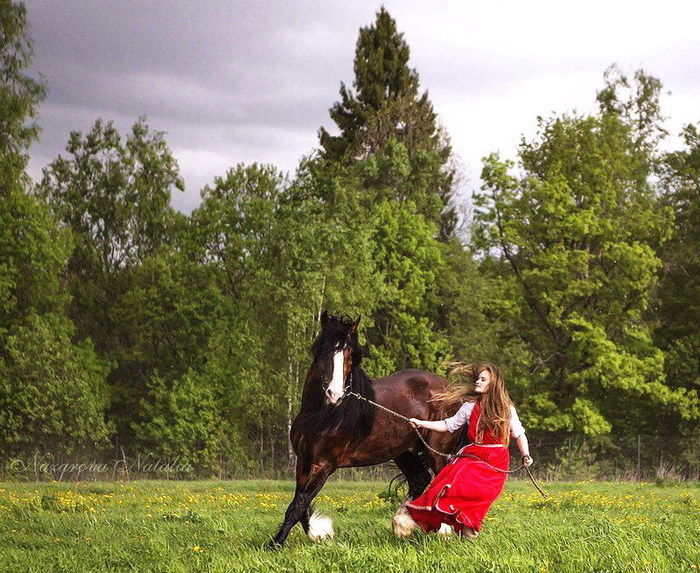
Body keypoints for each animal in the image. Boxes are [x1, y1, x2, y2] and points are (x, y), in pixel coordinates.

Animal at [268, 310, 460, 548]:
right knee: (420, 479)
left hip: (436, 451)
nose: (334, 394)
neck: (320, 416)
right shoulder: (303, 461)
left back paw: (443, 531)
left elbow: (298, 504)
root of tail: (451, 390)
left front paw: (275, 544)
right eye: (322, 351)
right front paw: (319, 532)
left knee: (440, 481)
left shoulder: (324, 465)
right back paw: (402, 525)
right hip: (403, 452)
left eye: (351, 354)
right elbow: (301, 502)